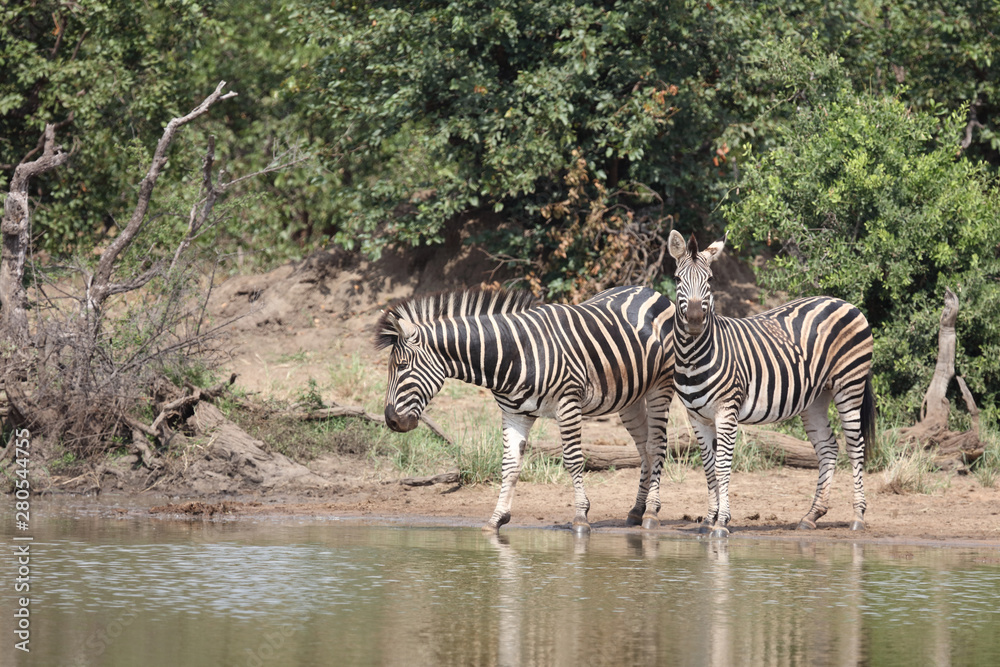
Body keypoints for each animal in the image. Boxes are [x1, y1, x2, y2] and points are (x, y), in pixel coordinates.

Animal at [374, 285, 676, 534]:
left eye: (402, 366)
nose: (391, 420)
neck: (514, 355)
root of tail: (649, 290)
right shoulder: (514, 414)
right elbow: (509, 465)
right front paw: (497, 519)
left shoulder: (568, 403)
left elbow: (573, 460)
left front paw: (581, 517)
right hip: (631, 397)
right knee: (643, 447)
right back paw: (636, 510)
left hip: (661, 386)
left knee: (656, 445)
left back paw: (651, 512)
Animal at [667, 230, 876, 537]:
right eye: (678, 279)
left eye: (710, 280)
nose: (694, 321)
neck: (693, 356)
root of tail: (844, 302)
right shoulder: (696, 417)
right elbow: (708, 468)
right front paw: (708, 519)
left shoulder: (727, 412)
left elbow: (722, 467)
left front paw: (722, 522)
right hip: (816, 397)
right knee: (828, 447)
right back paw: (811, 515)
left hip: (850, 384)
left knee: (855, 445)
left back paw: (859, 516)